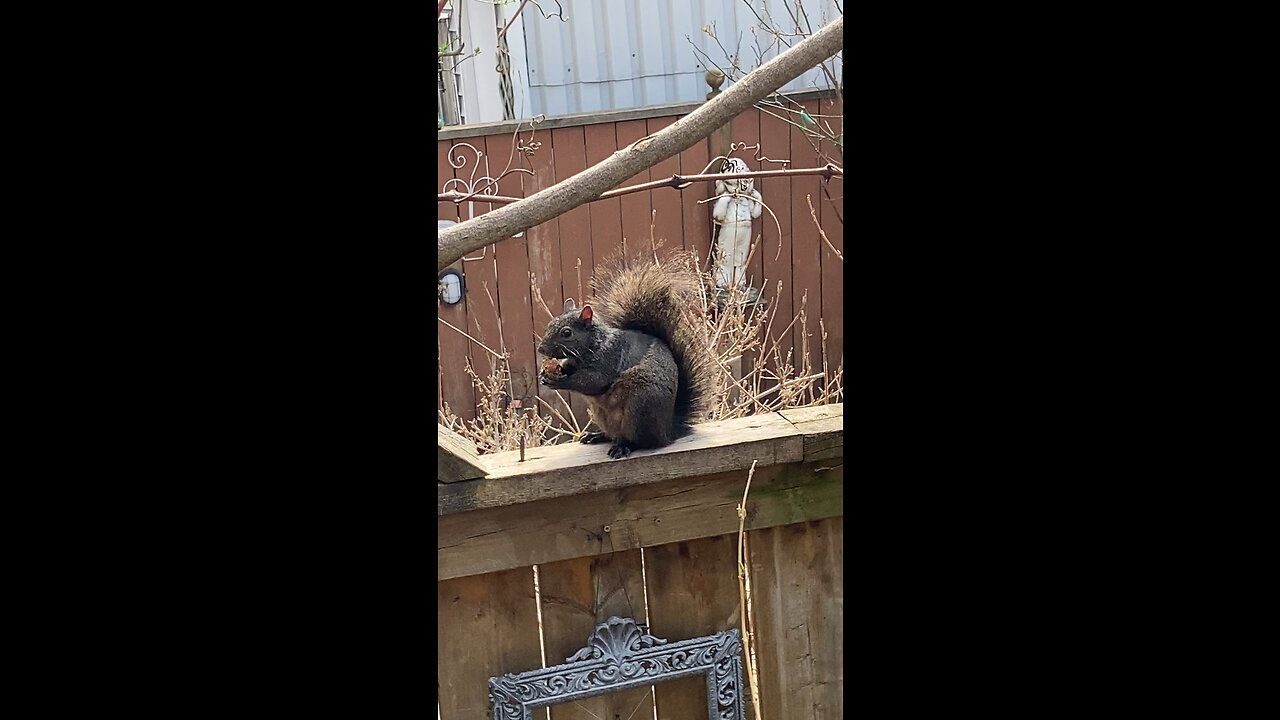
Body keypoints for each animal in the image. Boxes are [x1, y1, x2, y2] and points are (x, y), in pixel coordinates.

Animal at [537, 252, 716, 458]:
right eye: (550, 324)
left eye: (566, 333)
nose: (541, 349)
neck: (592, 346)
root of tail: (669, 431)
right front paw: (548, 374)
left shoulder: (608, 359)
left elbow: (592, 381)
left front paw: (559, 381)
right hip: (604, 415)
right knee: (613, 434)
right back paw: (597, 436)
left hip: (639, 411)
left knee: (642, 441)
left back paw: (624, 446)